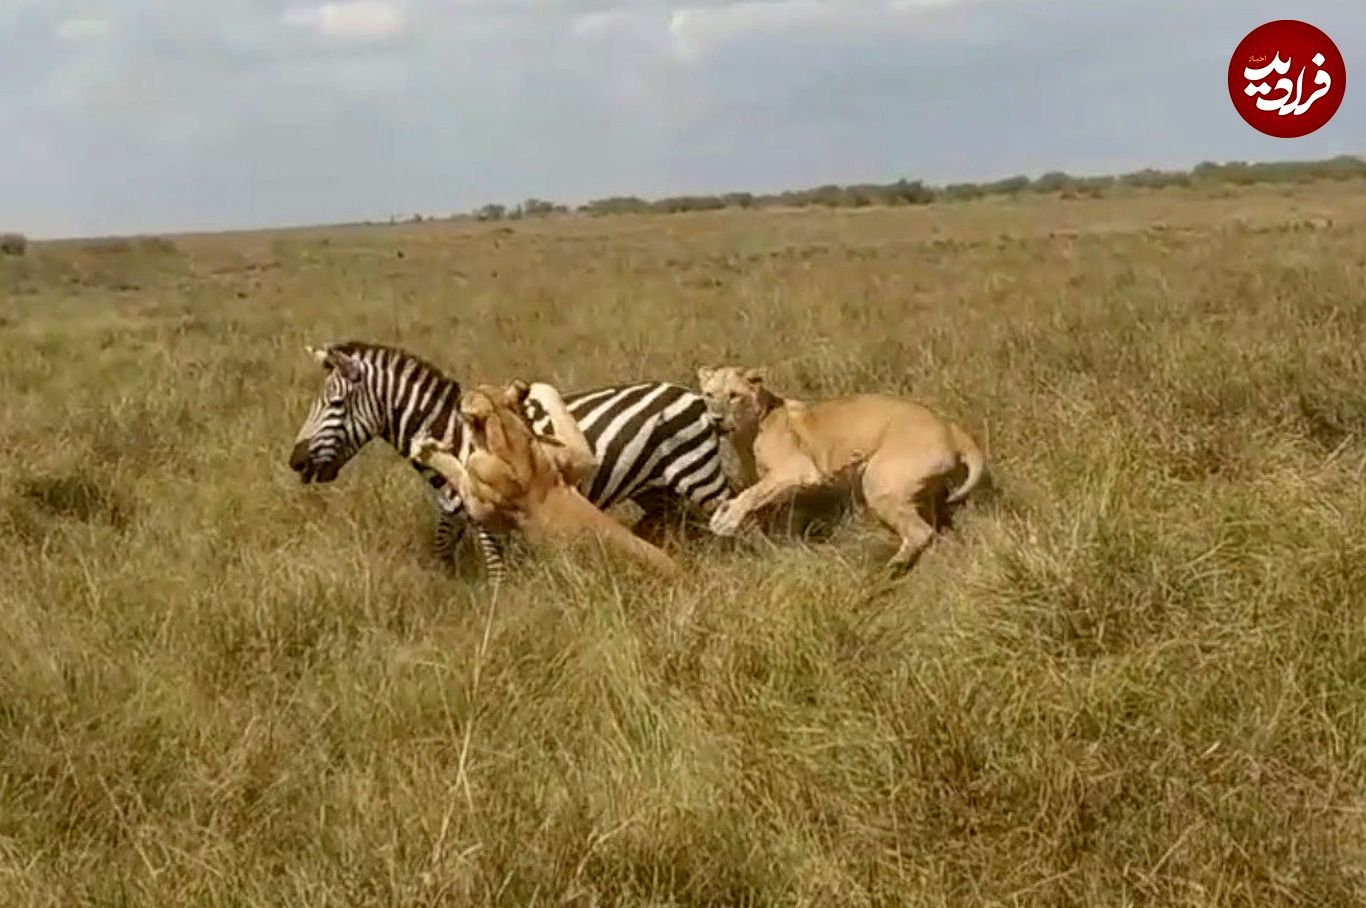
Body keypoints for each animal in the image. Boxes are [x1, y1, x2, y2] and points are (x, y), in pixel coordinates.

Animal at [407, 379, 680, 573]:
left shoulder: (482, 506)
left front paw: (425, 449)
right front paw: (532, 389)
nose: (458, 397)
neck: (508, 435)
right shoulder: (579, 460)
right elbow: (561, 415)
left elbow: (455, 468)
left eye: (463, 402)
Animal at [704, 365, 983, 568]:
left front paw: (725, 520)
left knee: (920, 532)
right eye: (708, 395)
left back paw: (891, 569)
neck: (745, 433)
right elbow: (757, 500)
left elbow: (750, 495)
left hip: (878, 481)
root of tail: (949, 425)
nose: (715, 419)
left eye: (733, 396)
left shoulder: (799, 470)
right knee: (932, 527)